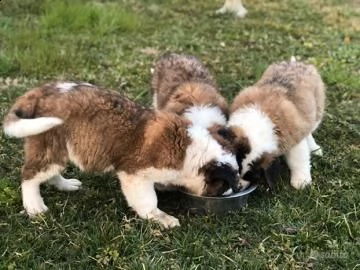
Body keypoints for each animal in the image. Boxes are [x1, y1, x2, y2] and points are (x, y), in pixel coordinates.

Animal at [2, 80, 240, 228]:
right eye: (224, 185)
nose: (235, 190)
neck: (191, 151)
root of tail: (41, 92)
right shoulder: (135, 174)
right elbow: (147, 200)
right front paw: (160, 217)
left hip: (56, 148)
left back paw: (65, 184)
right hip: (49, 141)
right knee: (29, 175)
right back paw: (34, 206)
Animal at [228, 59, 326, 190]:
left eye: (251, 175)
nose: (237, 187)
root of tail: (296, 62)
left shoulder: (294, 139)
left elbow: (298, 160)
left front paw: (301, 181)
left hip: (317, 111)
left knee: (309, 131)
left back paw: (315, 148)